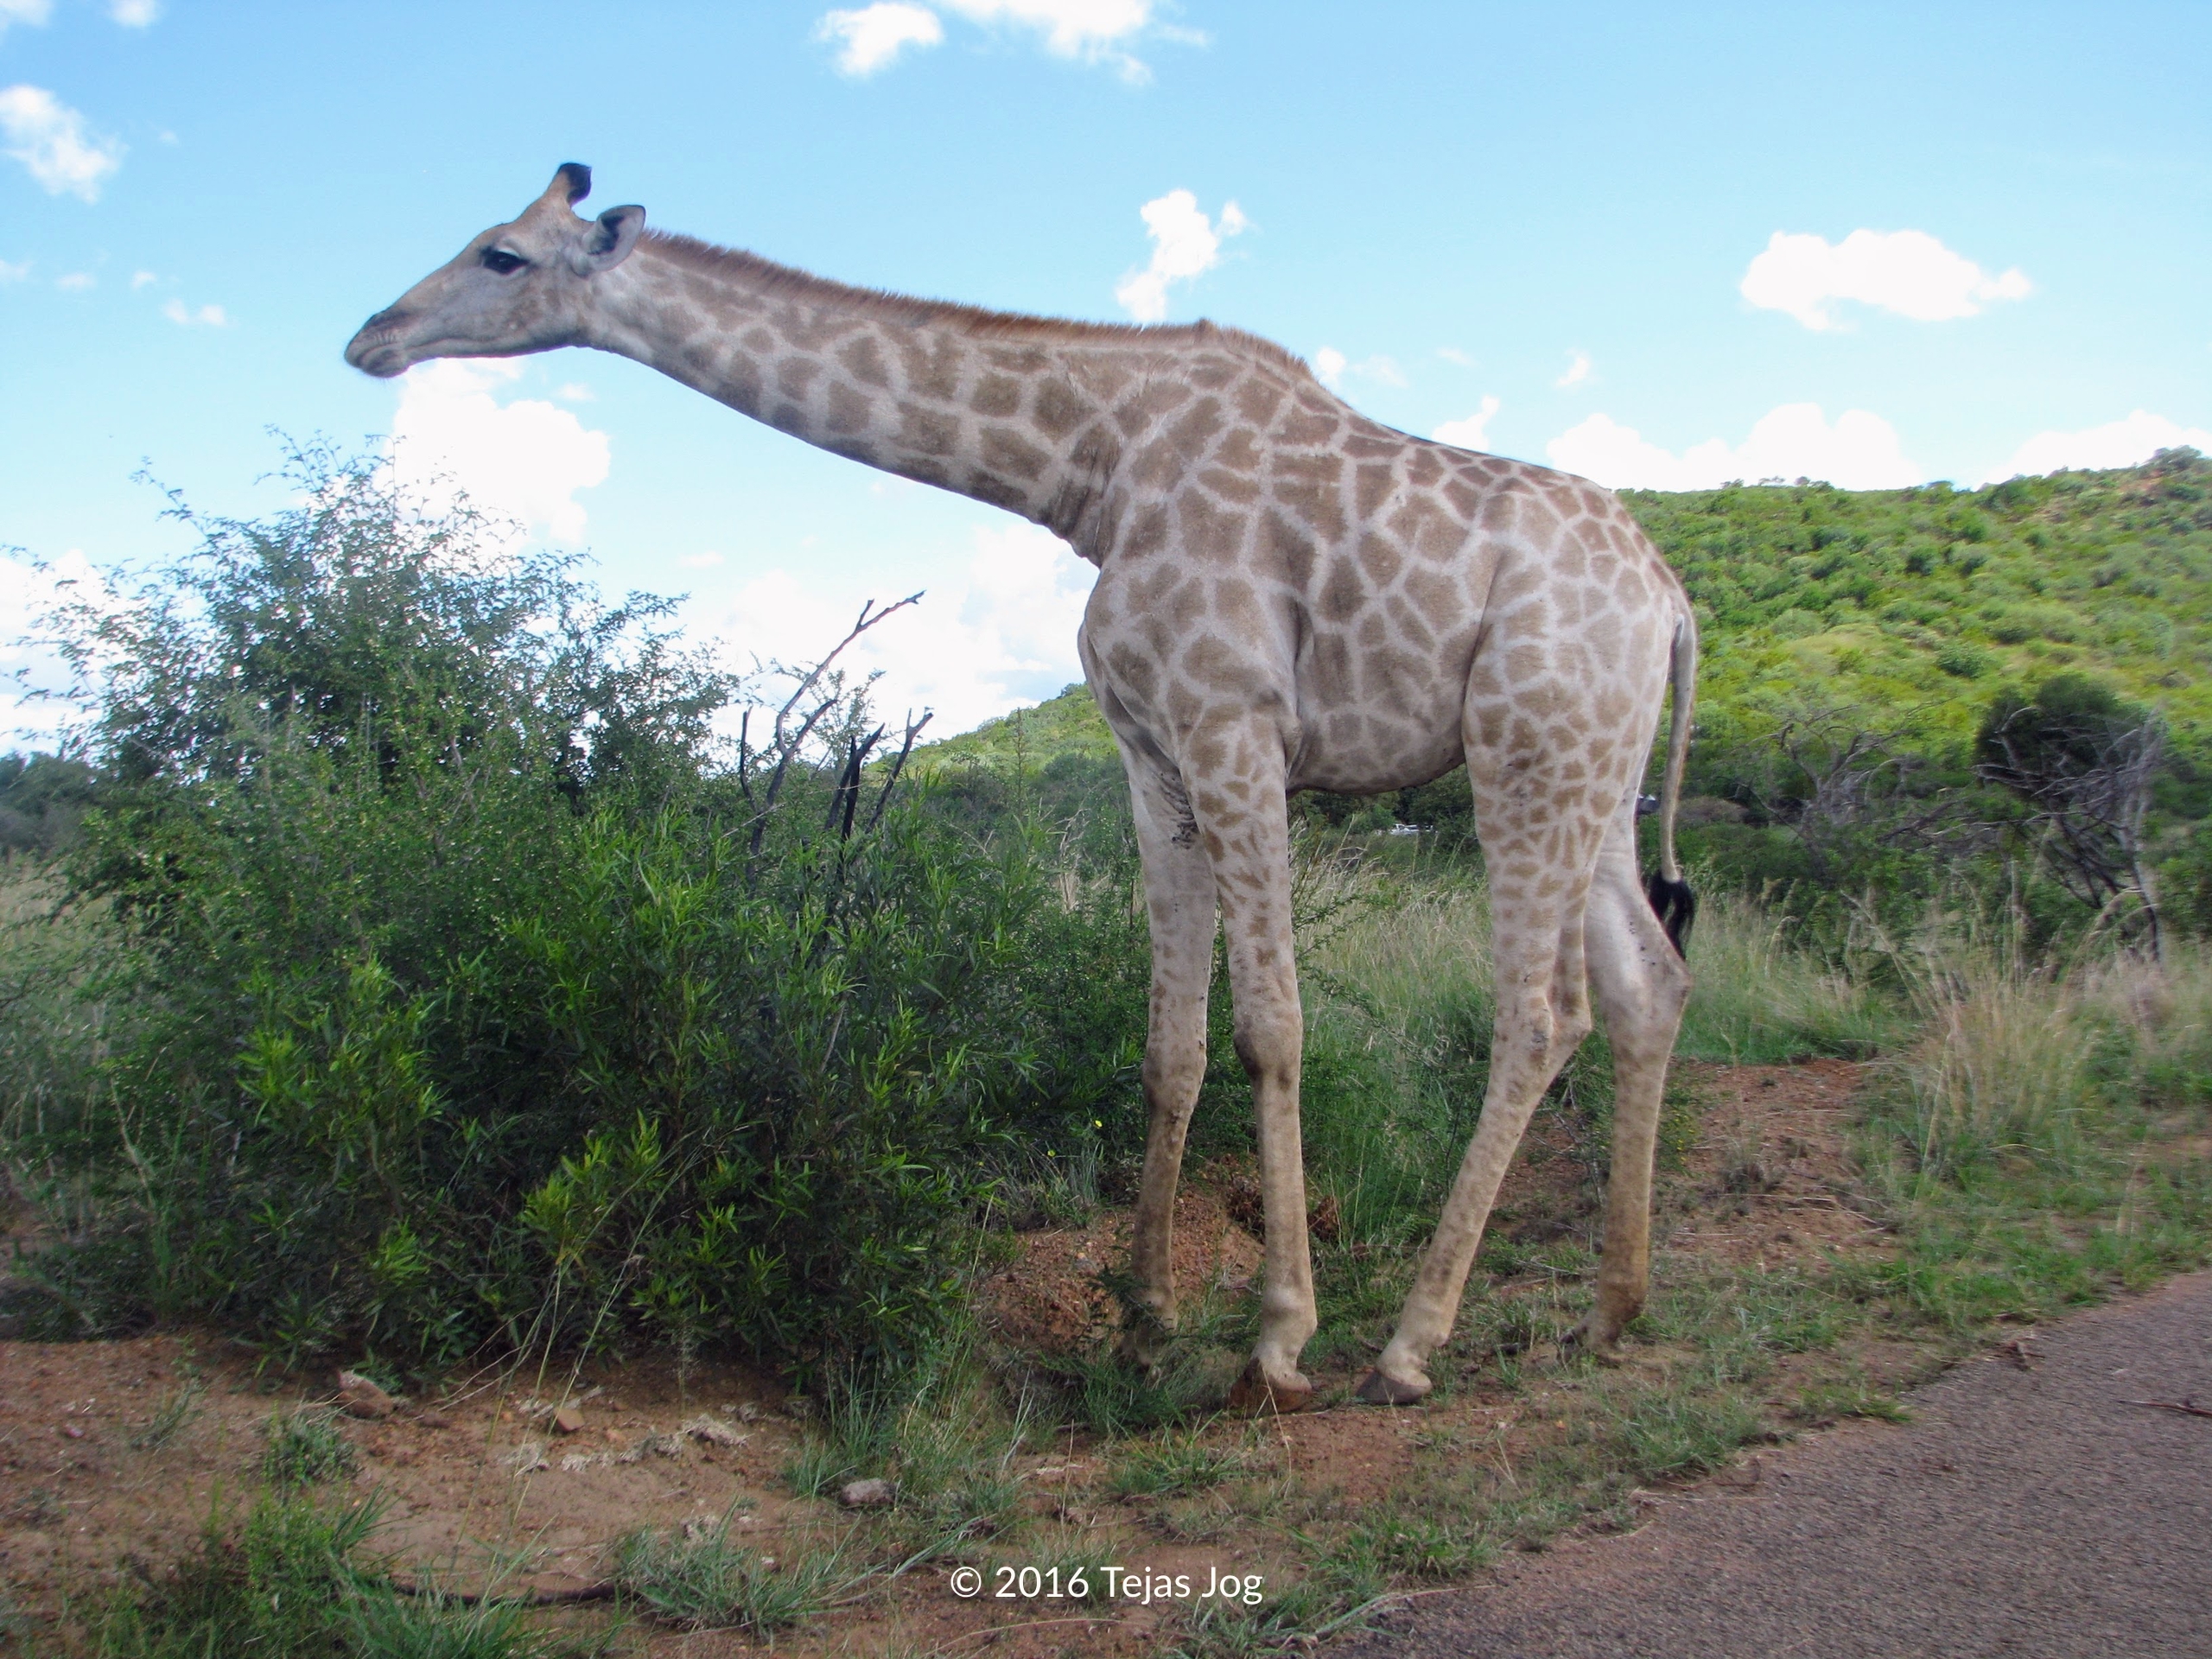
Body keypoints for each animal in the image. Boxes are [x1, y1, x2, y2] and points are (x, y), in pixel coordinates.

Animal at [346, 165, 1699, 1410]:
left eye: (501, 253)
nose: (371, 338)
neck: (1087, 471)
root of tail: (1674, 604)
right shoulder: (1152, 754)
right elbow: (1170, 1045)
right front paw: (1144, 1323)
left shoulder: (1236, 724)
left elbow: (1270, 1027)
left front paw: (1275, 1339)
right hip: (1596, 768)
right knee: (1650, 980)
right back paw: (1612, 1311)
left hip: (1525, 749)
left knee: (1543, 1012)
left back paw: (1411, 1346)